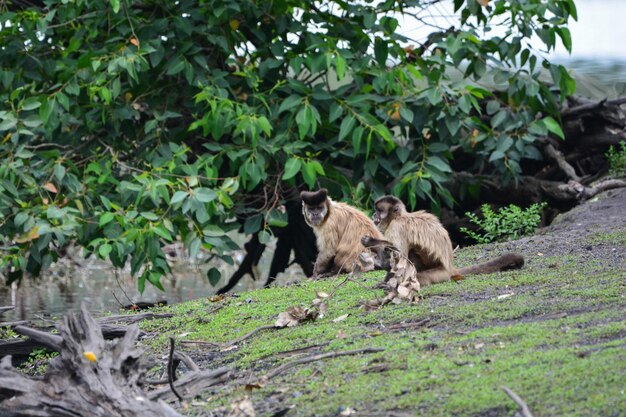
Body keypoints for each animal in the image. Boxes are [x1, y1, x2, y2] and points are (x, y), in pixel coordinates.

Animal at [360, 195, 520, 286]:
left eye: (380, 211)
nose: (374, 215)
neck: (400, 217)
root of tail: (450, 268)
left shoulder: (396, 227)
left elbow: (400, 257)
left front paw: (371, 241)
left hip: (439, 274)